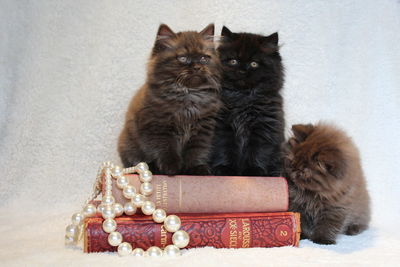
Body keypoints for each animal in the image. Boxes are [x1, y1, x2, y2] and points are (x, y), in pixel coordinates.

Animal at [118, 23, 222, 176]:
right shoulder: (158, 127)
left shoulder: (202, 129)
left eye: (204, 58)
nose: (197, 67)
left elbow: (196, 152)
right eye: (183, 58)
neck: (188, 94)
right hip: (128, 145)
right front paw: (171, 168)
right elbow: (166, 149)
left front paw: (197, 169)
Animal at [209, 26, 284, 177]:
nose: (242, 71)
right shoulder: (223, 127)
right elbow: (224, 149)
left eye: (254, 64)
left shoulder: (264, 128)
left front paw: (254, 171)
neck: (243, 98)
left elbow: (258, 152)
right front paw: (225, 169)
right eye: (233, 61)